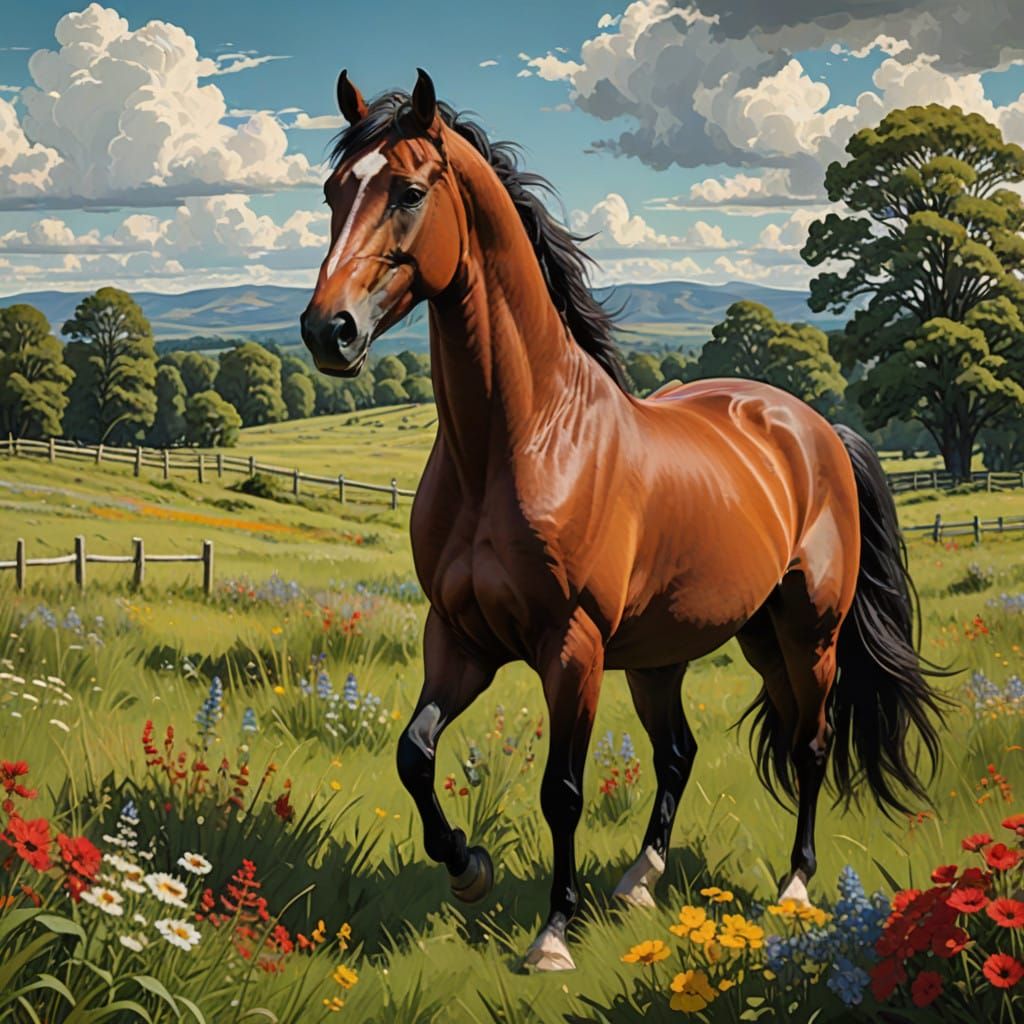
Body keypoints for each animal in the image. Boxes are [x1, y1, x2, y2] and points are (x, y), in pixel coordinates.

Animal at [300, 68, 947, 972]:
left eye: (409, 191)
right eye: (333, 191)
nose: (328, 330)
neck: (524, 439)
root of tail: (816, 426)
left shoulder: (571, 648)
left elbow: (562, 790)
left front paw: (551, 935)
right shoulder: (459, 640)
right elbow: (415, 754)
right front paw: (468, 868)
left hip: (806, 633)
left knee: (810, 744)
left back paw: (793, 888)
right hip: (688, 648)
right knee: (683, 750)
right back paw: (640, 879)